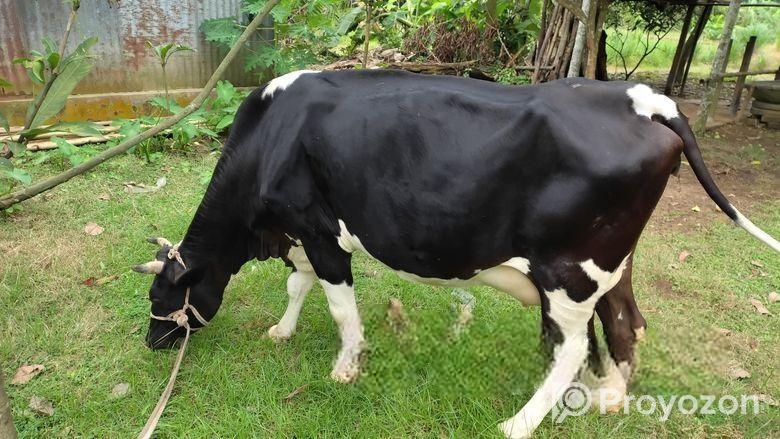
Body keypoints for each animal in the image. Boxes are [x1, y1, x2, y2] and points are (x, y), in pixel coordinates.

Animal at [132, 69, 779, 438]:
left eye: (160, 294)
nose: (154, 342)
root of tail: (640, 97)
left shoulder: (318, 231)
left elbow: (339, 306)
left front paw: (346, 365)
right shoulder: (295, 234)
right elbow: (298, 284)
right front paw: (283, 330)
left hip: (567, 271)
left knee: (572, 346)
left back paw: (519, 423)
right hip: (611, 264)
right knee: (625, 321)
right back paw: (609, 397)